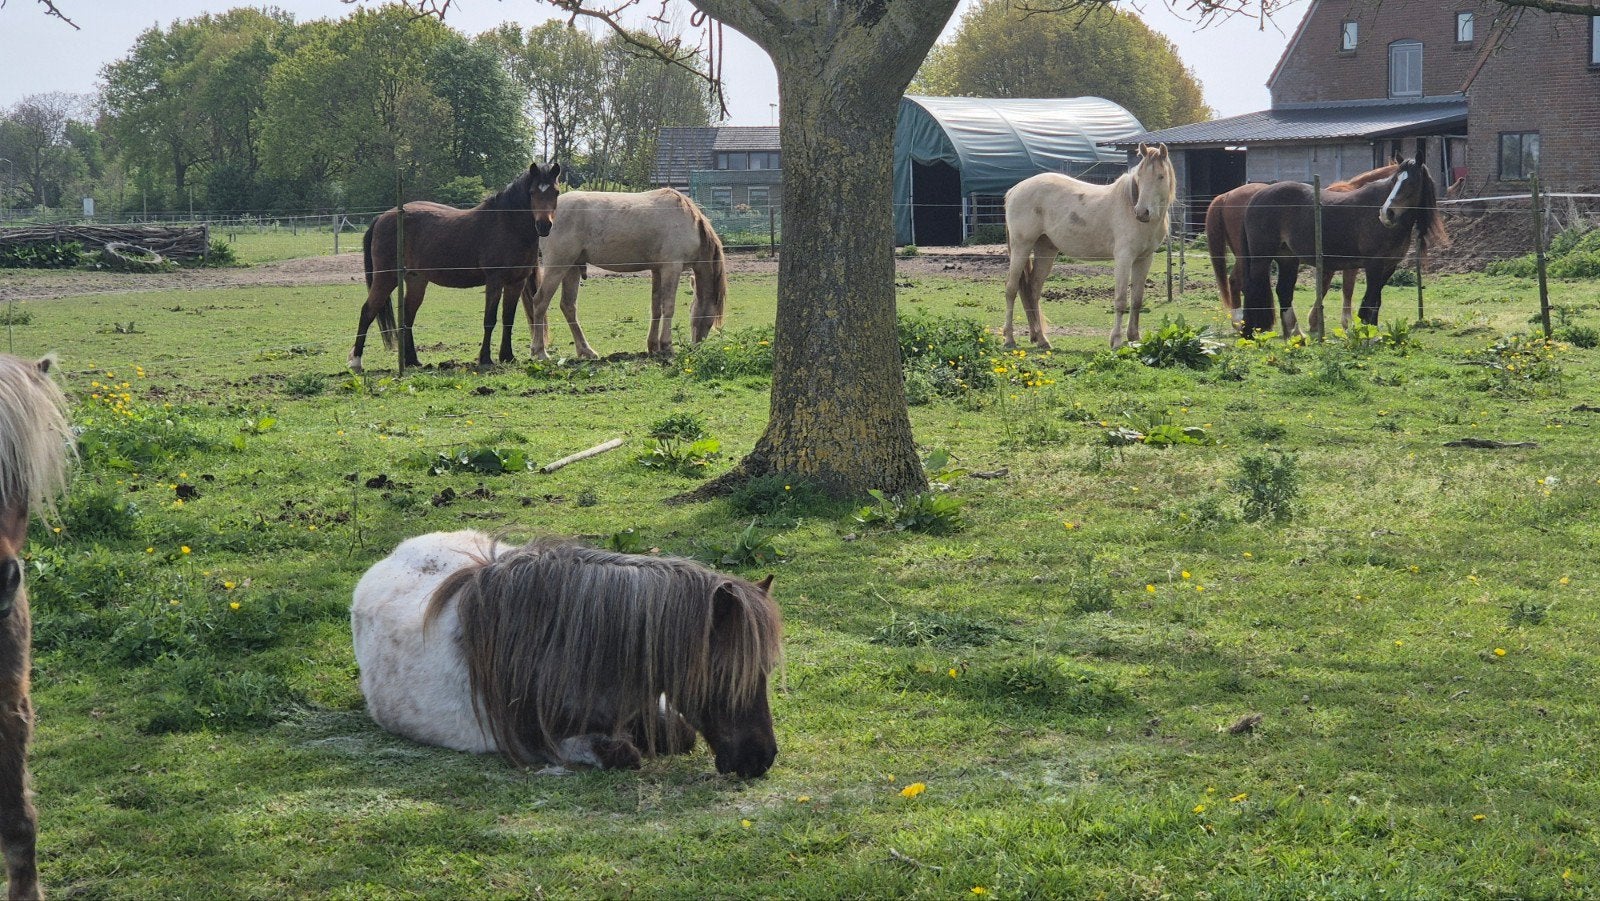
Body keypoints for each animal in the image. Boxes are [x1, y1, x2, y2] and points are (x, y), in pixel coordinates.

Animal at [348, 161, 561, 373]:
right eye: (532, 192)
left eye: (556, 192)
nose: (544, 225)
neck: (507, 225)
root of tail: (382, 217)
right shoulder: (494, 281)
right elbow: (489, 320)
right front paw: (485, 358)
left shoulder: (516, 282)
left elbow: (508, 319)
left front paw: (507, 356)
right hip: (386, 278)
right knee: (367, 311)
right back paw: (356, 361)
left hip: (416, 280)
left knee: (407, 317)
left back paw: (412, 361)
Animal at [519, 188, 726, 360]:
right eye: (710, 320)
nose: (696, 347)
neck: (688, 221)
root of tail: (544, 219)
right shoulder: (671, 268)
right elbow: (668, 307)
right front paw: (667, 346)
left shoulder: (657, 270)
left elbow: (656, 307)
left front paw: (653, 346)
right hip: (558, 267)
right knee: (540, 302)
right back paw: (540, 352)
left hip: (572, 268)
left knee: (568, 306)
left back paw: (586, 350)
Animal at [1002, 143, 1176, 349]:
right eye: (1139, 177)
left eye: (1160, 176)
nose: (1142, 213)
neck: (1129, 204)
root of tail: (1015, 190)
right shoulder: (1124, 258)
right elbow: (1120, 300)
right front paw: (1117, 340)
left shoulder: (1144, 259)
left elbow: (1137, 299)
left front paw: (1134, 337)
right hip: (1021, 246)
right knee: (1012, 290)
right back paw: (1009, 339)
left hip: (1045, 250)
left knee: (1033, 290)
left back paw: (1042, 340)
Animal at [1240, 157, 1448, 337]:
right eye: (1395, 180)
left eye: (1411, 183)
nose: (1386, 213)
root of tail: (1256, 197)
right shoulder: (1374, 265)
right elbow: (1371, 300)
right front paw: (1368, 334)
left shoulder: (1388, 267)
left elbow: (1376, 300)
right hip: (1261, 258)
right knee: (1252, 288)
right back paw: (1249, 333)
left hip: (1287, 259)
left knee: (1283, 291)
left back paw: (1297, 334)